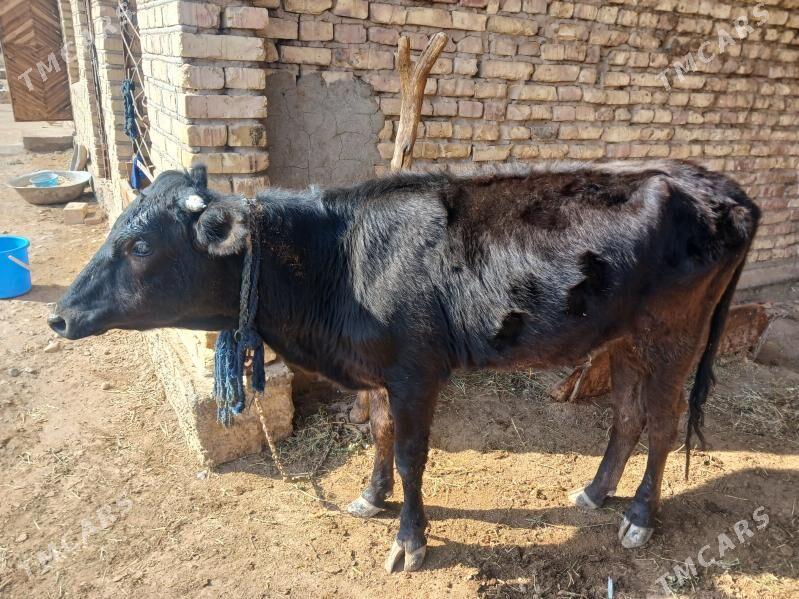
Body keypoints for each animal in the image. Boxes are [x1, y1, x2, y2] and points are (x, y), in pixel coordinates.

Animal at [49, 161, 759, 572]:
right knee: (627, 417)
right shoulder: (384, 371)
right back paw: (593, 491)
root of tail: (717, 184)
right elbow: (381, 434)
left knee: (663, 423)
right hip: (624, 339)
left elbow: (414, 452)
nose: (58, 316)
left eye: (141, 244)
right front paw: (370, 497)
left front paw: (410, 541)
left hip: (674, 334)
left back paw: (638, 518)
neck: (338, 259)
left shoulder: (418, 371)